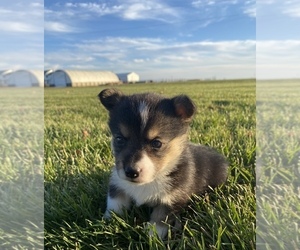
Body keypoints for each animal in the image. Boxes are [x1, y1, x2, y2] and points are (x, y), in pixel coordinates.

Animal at [98, 88, 227, 238]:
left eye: (157, 143)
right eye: (119, 139)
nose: (131, 172)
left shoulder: (172, 198)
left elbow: (161, 216)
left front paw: (152, 234)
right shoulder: (117, 184)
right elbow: (115, 203)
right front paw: (108, 220)